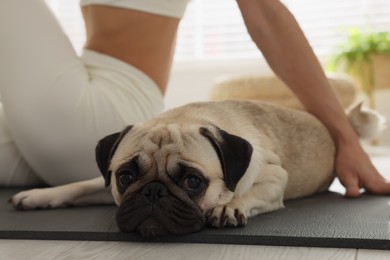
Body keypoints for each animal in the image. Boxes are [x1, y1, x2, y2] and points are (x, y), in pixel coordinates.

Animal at [9, 100, 384, 238]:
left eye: (193, 181)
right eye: (125, 177)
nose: (153, 191)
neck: (183, 117)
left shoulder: (275, 177)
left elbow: (245, 193)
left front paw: (228, 206)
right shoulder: (104, 182)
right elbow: (81, 185)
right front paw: (39, 195)